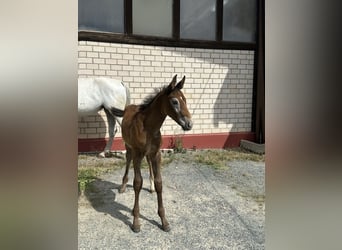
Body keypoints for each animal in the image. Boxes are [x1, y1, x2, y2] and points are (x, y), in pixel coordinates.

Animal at [118, 74, 192, 232]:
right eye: (175, 101)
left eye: (185, 99)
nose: (189, 124)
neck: (149, 127)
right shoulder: (137, 154)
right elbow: (137, 183)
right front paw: (136, 221)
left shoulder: (156, 154)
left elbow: (159, 183)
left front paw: (164, 221)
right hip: (129, 147)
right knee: (128, 160)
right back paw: (123, 185)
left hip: (147, 154)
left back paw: (150, 187)